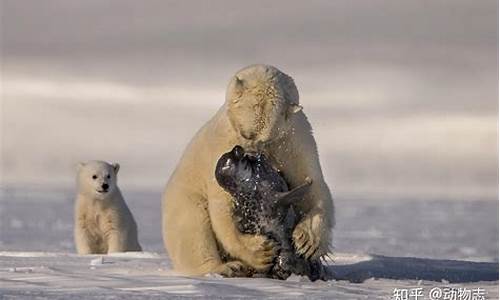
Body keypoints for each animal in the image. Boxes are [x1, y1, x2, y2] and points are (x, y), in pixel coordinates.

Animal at [164, 65, 334, 276]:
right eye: (246, 134)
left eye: (264, 139)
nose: (248, 153)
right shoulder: (223, 143)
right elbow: (223, 206)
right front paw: (260, 253)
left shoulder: (294, 138)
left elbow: (311, 182)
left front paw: (308, 240)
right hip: (183, 197)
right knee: (193, 227)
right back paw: (227, 267)